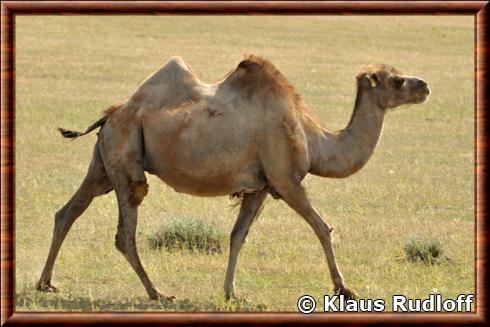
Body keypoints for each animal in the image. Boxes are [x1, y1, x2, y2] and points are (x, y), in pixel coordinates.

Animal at [36, 54, 430, 302]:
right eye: (397, 81)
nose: (425, 86)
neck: (314, 138)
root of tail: (109, 115)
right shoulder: (286, 180)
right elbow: (323, 227)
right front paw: (344, 289)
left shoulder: (261, 187)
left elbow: (237, 236)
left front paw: (231, 292)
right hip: (126, 157)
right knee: (124, 233)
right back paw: (158, 293)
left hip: (104, 164)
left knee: (68, 212)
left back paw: (45, 284)